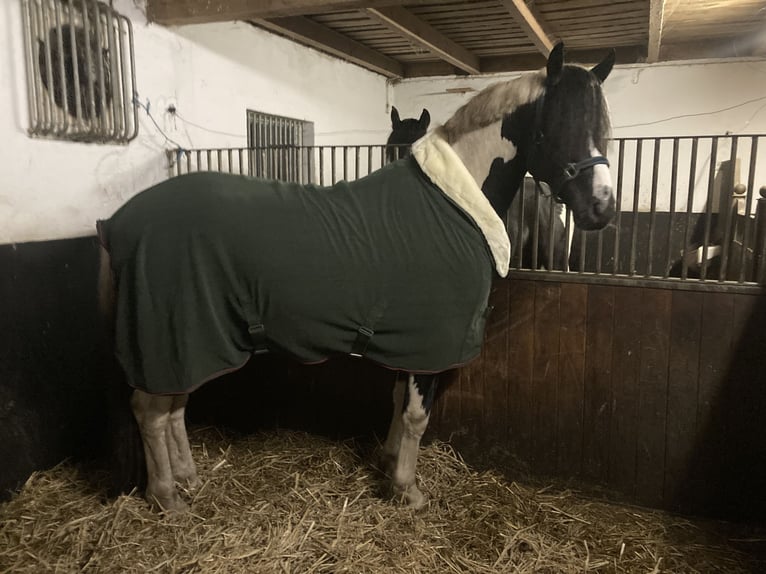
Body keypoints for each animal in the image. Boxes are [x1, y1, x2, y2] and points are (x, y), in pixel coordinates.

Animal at [99, 42, 616, 516]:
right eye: (559, 125)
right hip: (175, 339)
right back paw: (167, 497)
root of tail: (121, 223)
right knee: (150, 411)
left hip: (190, 345)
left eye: (603, 128)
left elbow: (396, 401)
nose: (601, 208)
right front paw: (407, 489)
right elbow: (416, 415)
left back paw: (188, 479)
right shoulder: (429, 344)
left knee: (173, 408)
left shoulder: (408, 342)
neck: (454, 202)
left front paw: (387, 463)